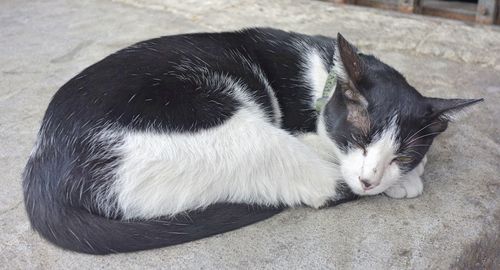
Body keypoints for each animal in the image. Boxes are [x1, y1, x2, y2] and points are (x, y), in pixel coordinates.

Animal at [21, 28, 482, 254]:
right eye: (360, 135)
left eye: (403, 152)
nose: (371, 180)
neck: (321, 75)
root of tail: (43, 166)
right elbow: (332, 159)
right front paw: (404, 181)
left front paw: (406, 173)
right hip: (234, 130)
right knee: (319, 184)